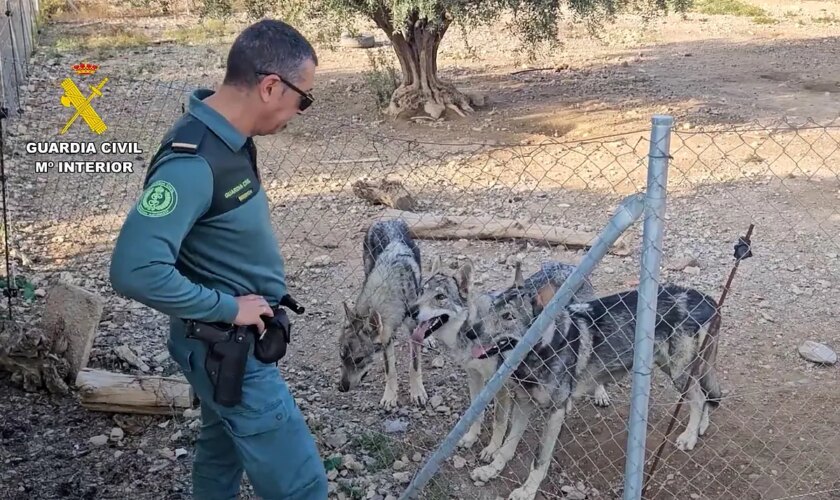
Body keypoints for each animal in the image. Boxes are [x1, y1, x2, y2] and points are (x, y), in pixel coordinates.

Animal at [336, 221, 430, 408]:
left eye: (359, 359)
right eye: (341, 356)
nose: (341, 388)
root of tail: (387, 220)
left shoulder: (411, 330)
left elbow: (414, 366)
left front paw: (417, 393)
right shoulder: (387, 338)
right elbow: (390, 370)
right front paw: (390, 396)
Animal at [410, 260, 608, 462]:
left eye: (440, 296)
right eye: (421, 292)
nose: (411, 310)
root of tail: (564, 264)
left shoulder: (500, 385)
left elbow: (499, 421)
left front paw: (492, 449)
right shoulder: (474, 375)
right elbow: (475, 413)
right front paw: (471, 437)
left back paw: (600, 393)